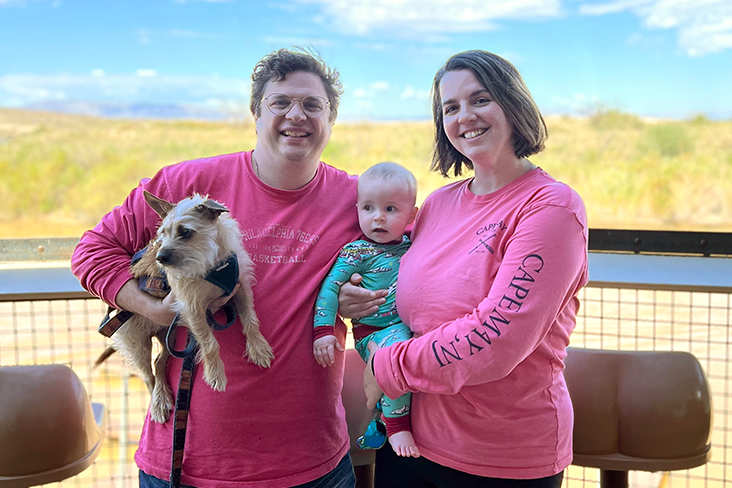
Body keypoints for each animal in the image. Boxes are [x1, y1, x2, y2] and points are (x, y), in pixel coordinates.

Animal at [94, 192, 272, 424]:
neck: (211, 263)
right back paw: (158, 402)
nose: (160, 258)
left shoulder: (240, 288)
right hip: (137, 342)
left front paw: (259, 348)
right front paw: (215, 373)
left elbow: (251, 320)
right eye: (162, 234)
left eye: (185, 231)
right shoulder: (192, 309)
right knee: (148, 375)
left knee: (159, 362)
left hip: (166, 336)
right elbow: (210, 344)